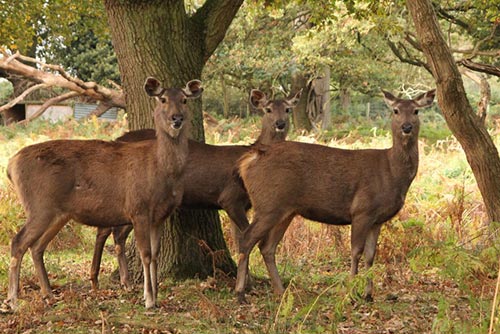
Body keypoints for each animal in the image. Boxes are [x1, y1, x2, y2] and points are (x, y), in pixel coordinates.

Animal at [3, 77, 203, 310]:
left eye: (184, 100)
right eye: (162, 99)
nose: (176, 118)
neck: (162, 172)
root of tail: (11, 166)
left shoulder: (160, 216)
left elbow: (155, 256)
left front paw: (155, 296)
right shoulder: (138, 208)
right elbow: (145, 254)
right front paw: (148, 299)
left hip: (56, 212)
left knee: (36, 246)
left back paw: (49, 295)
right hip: (39, 205)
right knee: (18, 242)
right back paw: (13, 300)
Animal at [88, 88, 302, 290]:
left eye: (287, 109)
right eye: (268, 109)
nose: (280, 123)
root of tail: (117, 140)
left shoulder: (243, 205)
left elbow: (238, 239)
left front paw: (247, 282)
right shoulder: (230, 197)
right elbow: (247, 238)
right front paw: (248, 283)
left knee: (110, 231)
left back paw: (106, 279)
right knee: (111, 232)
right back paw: (114, 279)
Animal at [234, 88, 434, 302]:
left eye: (416, 111)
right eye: (396, 110)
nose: (407, 127)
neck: (392, 172)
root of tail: (248, 160)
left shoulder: (377, 219)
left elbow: (371, 256)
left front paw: (368, 294)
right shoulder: (362, 210)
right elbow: (356, 252)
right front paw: (351, 293)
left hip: (284, 209)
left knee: (267, 246)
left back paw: (281, 291)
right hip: (268, 204)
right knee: (246, 239)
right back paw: (240, 292)